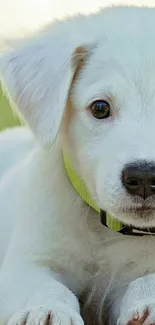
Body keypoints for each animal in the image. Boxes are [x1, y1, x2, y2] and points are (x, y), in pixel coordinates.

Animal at [1, 4, 155, 324]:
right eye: (100, 108)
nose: (145, 177)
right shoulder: (27, 262)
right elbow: (44, 285)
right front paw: (46, 309)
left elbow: (147, 279)